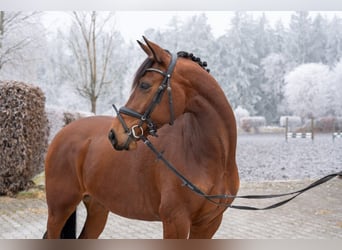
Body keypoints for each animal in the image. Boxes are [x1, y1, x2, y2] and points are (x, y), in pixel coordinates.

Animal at [44, 36, 239, 238]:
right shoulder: (175, 221)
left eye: (145, 85)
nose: (114, 134)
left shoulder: (209, 224)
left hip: (97, 207)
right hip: (59, 209)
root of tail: (63, 132)